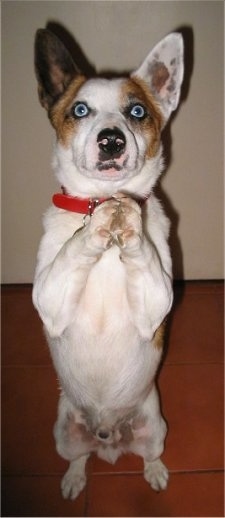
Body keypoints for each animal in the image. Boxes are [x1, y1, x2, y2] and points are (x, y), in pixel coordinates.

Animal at [32, 27, 184, 500]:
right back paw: (74, 478)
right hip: (62, 431)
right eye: (80, 110)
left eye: (137, 111)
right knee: (79, 456)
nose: (112, 140)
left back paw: (155, 472)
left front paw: (127, 216)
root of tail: (107, 437)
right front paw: (98, 222)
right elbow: (73, 250)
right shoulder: (49, 299)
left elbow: (144, 255)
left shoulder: (156, 300)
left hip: (155, 427)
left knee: (150, 453)